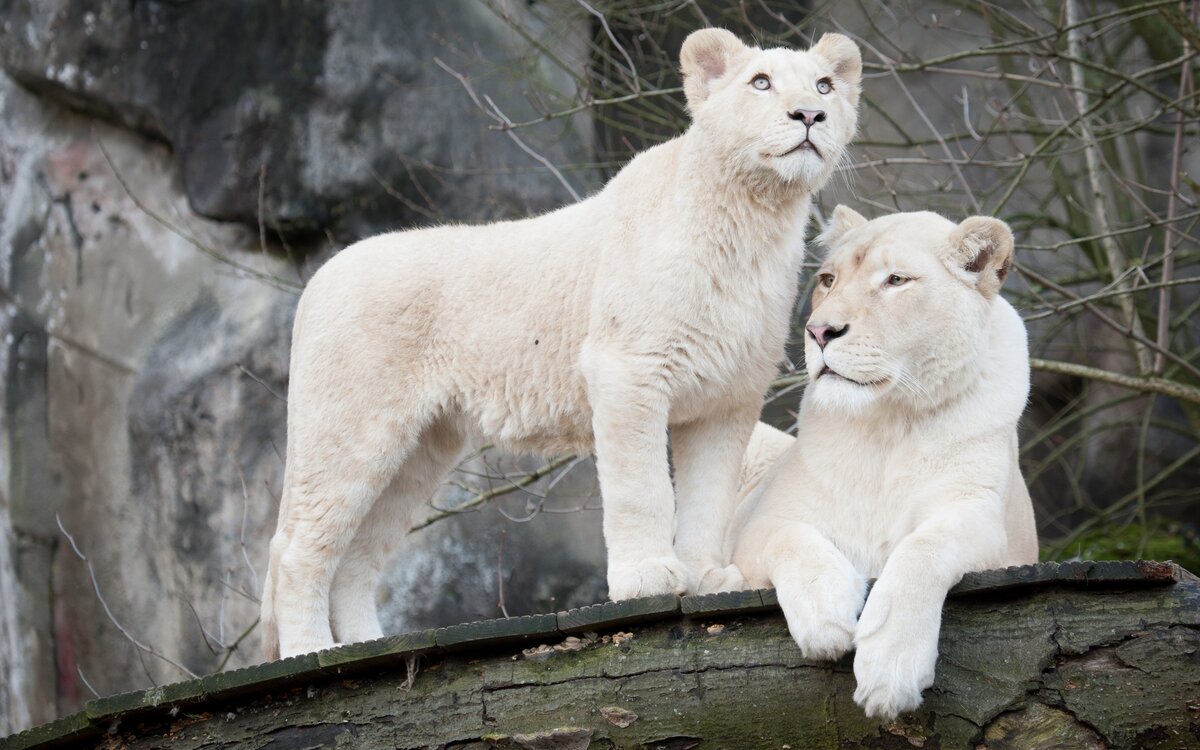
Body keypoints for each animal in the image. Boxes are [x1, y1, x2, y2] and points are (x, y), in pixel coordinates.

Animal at [262, 27, 864, 652]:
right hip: (349, 428)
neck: (755, 221)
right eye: (760, 82)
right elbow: (642, 486)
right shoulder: (627, 368)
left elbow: (711, 498)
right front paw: (648, 576)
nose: (810, 114)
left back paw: (361, 646)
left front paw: (706, 578)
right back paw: (313, 649)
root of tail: (319, 278)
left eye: (825, 84)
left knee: (357, 556)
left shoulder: (727, 397)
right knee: (296, 551)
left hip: (421, 447)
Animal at [724, 206, 1036, 720]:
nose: (819, 332)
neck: (886, 423)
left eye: (896, 280)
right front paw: (827, 614)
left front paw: (891, 668)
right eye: (828, 280)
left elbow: (921, 550)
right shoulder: (760, 524)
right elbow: (790, 539)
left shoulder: (979, 514)